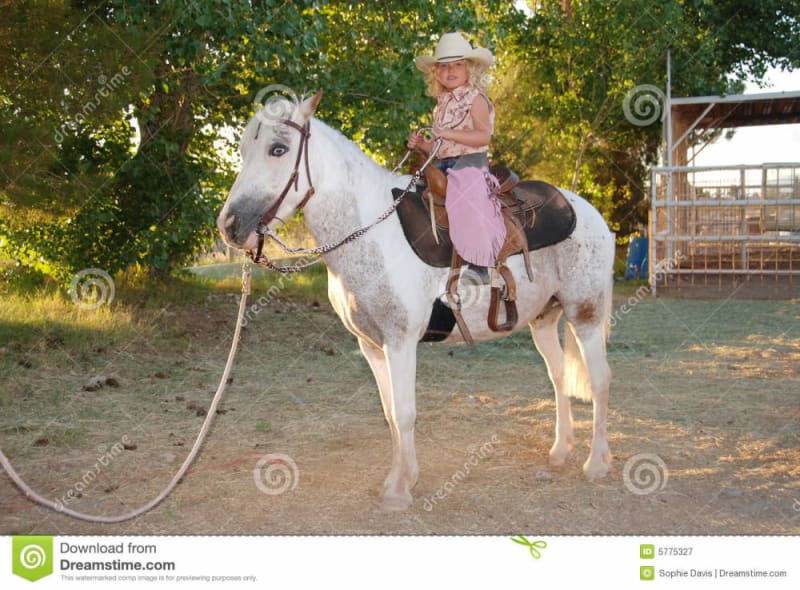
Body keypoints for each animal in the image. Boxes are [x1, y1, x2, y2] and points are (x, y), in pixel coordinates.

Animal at [217, 91, 615, 511]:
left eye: (278, 149)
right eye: (243, 151)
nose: (229, 225)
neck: (371, 231)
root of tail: (587, 211)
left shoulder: (401, 341)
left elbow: (406, 413)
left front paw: (398, 490)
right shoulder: (371, 345)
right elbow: (391, 413)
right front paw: (402, 477)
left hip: (585, 314)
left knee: (600, 379)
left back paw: (595, 463)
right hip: (544, 319)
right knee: (559, 376)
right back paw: (560, 451)